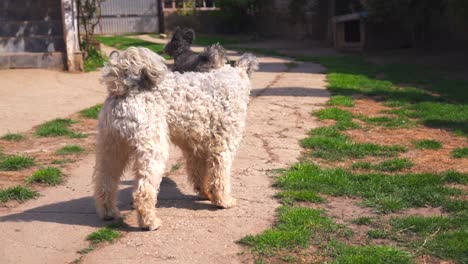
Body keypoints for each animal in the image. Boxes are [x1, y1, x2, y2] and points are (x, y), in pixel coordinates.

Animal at [93, 46, 258, 230]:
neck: (231, 81)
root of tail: (124, 88)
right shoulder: (222, 149)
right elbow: (219, 178)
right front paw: (223, 201)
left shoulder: (196, 150)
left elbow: (200, 176)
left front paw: (206, 194)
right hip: (152, 150)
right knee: (143, 191)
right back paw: (150, 222)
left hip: (111, 148)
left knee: (104, 183)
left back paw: (109, 213)